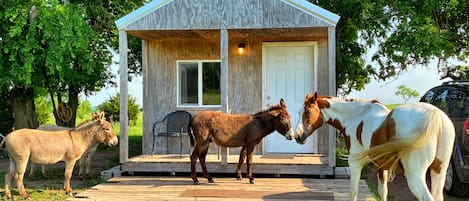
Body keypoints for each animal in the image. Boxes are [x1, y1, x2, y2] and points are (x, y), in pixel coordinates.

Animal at [296, 92, 454, 201]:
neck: (354, 115)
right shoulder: (381, 167)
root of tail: (435, 115)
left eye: (307, 112)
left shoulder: (355, 164)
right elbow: (382, 192)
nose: (297, 136)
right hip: (439, 171)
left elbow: (353, 192)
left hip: (415, 176)